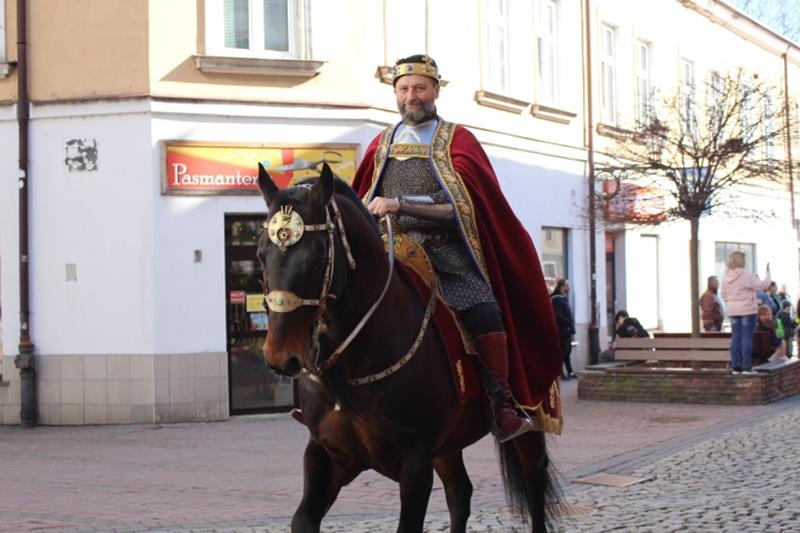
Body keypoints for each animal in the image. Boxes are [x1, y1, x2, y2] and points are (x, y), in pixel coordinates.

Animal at [255, 162, 559, 533]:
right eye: (260, 256)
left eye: (318, 258)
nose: (280, 358)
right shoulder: (327, 455)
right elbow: (302, 519)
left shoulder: (414, 461)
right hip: (447, 445)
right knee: (460, 492)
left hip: (529, 420)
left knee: (534, 480)